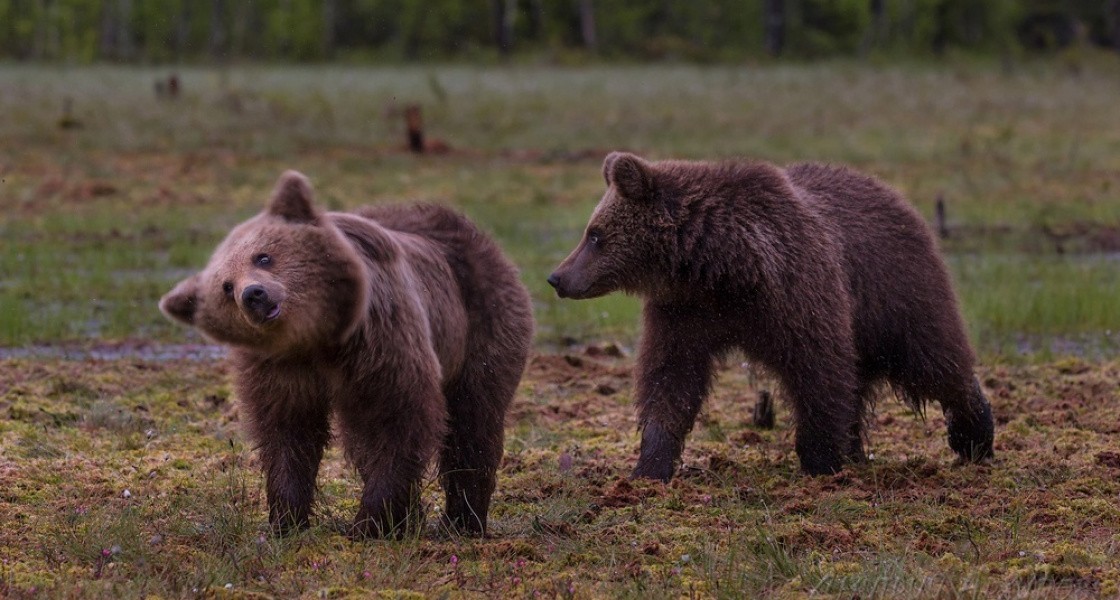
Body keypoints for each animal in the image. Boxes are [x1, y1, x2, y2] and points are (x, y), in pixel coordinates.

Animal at [159, 171, 537, 537]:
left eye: (263, 256)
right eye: (226, 287)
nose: (253, 294)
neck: (316, 340)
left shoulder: (380, 346)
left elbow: (397, 418)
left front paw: (368, 522)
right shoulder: (280, 370)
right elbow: (288, 432)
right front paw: (286, 519)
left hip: (481, 324)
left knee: (472, 421)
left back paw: (462, 521)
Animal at [546, 152, 994, 481]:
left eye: (595, 235)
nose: (557, 277)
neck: (721, 270)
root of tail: (894, 194)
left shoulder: (794, 294)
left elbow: (818, 370)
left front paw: (820, 460)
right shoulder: (684, 313)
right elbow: (669, 379)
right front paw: (650, 465)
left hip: (893, 292)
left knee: (930, 358)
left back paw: (974, 436)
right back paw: (856, 448)